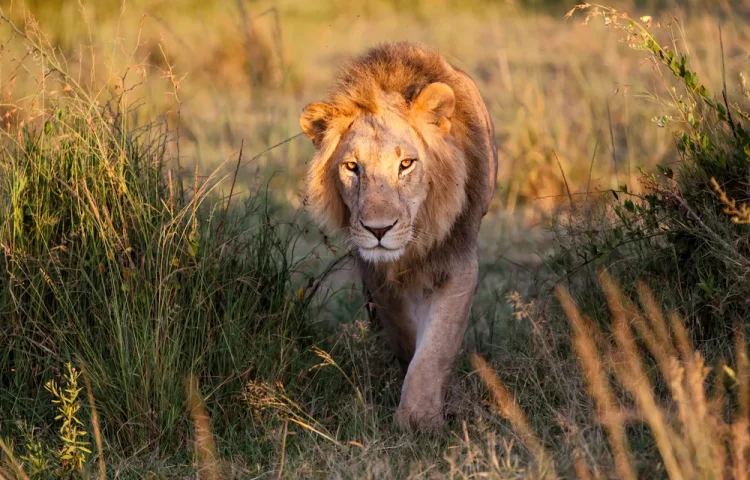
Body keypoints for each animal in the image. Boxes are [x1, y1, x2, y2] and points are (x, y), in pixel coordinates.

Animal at [300, 41, 500, 430]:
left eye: (406, 164)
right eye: (352, 167)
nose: (379, 230)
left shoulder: (459, 262)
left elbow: (435, 347)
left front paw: (420, 419)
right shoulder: (375, 272)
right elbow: (404, 331)